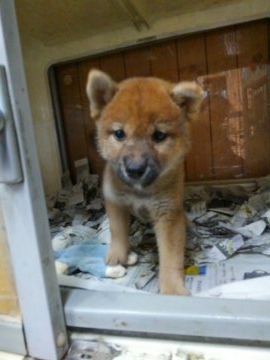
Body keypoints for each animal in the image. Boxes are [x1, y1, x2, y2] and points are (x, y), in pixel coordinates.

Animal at [86, 70, 202, 296]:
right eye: (119, 134)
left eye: (159, 135)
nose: (134, 169)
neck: (140, 192)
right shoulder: (115, 200)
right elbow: (117, 230)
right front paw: (118, 255)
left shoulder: (168, 214)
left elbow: (171, 257)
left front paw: (172, 289)